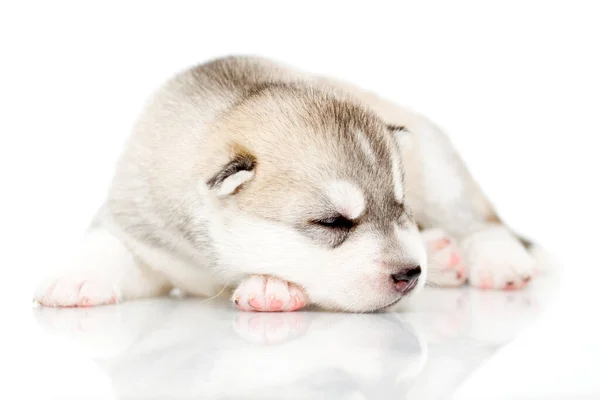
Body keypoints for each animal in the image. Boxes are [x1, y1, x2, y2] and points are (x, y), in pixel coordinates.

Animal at [31, 55, 548, 312]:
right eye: (332, 222)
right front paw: (76, 277)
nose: (409, 274)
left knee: (479, 219)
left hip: (439, 168)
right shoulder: (145, 230)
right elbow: (108, 243)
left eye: (402, 211)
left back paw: (492, 260)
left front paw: (267, 285)